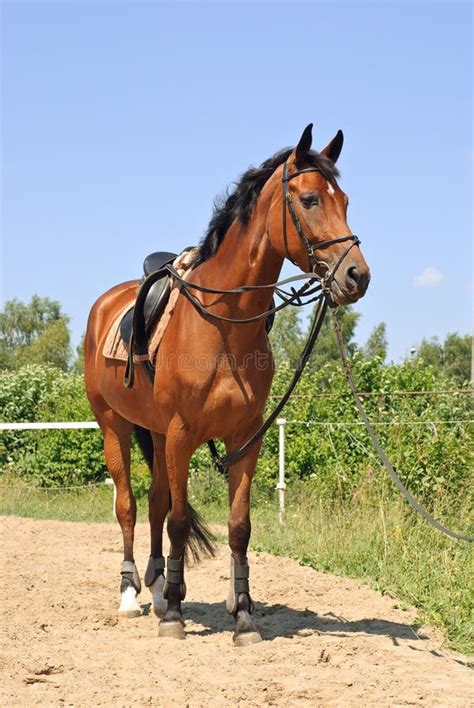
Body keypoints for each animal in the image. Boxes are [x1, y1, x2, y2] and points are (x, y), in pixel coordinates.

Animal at [84, 124, 370, 644]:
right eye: (311, 199)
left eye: (345, 200)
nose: (357, 275)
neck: (223, 324)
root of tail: (106, 303)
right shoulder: (182, 435)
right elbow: (179, 521)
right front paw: (176, 618)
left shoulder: (244, 439)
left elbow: (238, 526)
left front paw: (243, 617)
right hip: (114, 425)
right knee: (129, 506)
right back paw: (132, 597)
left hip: (155, 434)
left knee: (153, 504)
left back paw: (159, 591)